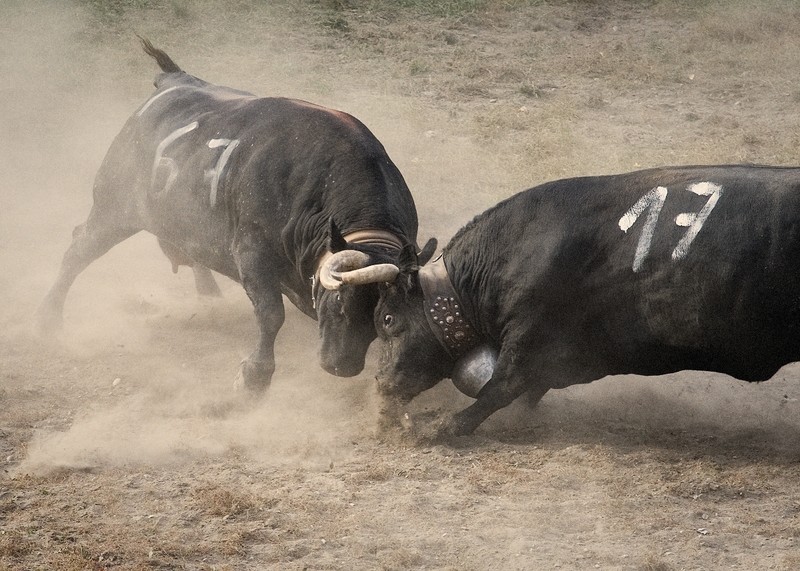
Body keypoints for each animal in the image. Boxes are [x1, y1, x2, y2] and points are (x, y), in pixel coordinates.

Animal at [37, 39, 434, 388]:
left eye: (380, 317)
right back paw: (49, 321)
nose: (341, 367)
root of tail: (174, 80)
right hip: (113, 209)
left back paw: (209, 295)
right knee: (77, 250)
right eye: (339, 303)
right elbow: (271, 314)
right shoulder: (252, 253)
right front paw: (254, 377)